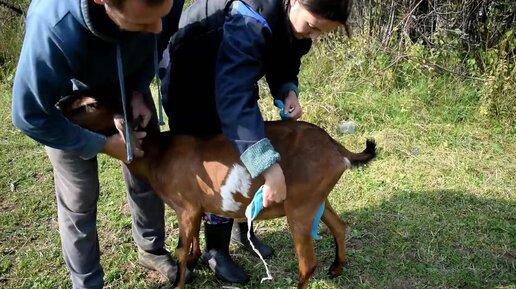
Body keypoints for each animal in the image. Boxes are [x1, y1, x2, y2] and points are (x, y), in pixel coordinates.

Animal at [58, 93, 376, 286]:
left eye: (89, 105)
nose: (57, 106)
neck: (159, 152)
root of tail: (336, 148)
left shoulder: (185, 206)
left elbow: (180, 249)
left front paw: (180, 282)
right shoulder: (195, 207)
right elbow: (193, 238)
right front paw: (197, 259)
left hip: (300, 207)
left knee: (308, 263)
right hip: (317, 199)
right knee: (339, 226)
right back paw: (336, 268)